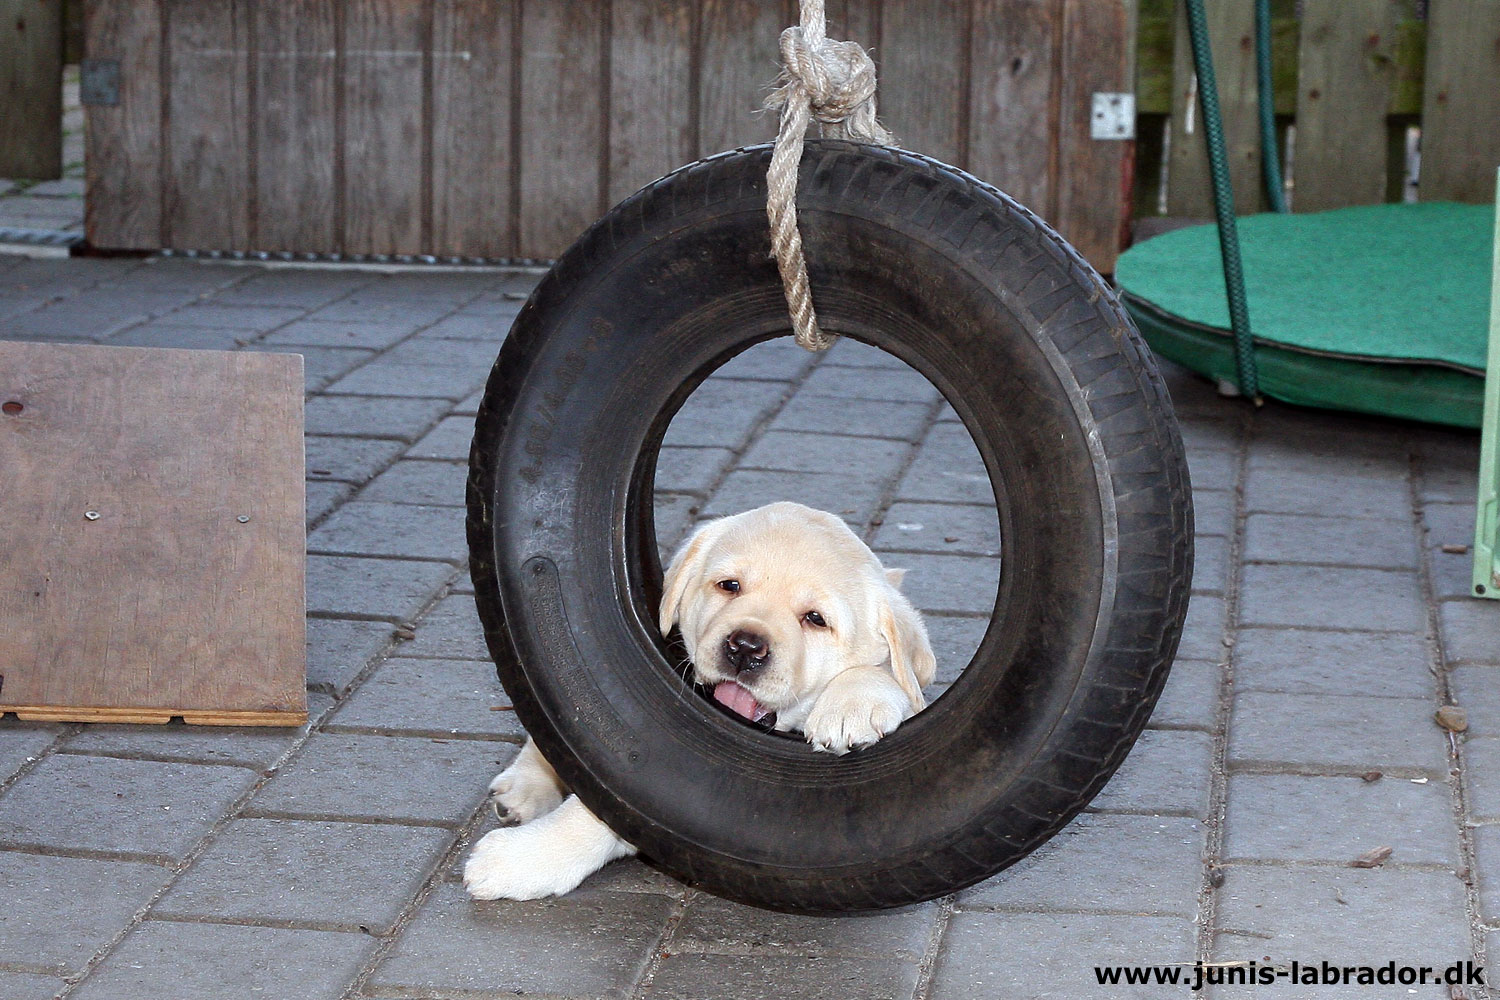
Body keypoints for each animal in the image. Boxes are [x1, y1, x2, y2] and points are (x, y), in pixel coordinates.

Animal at [462, 503, 930, 905]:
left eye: (815, 619)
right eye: (730, 586)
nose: (745, 647)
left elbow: (894, 676)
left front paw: (853, 704)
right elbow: (600, 806)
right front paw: (523, 859)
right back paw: (522, 787)